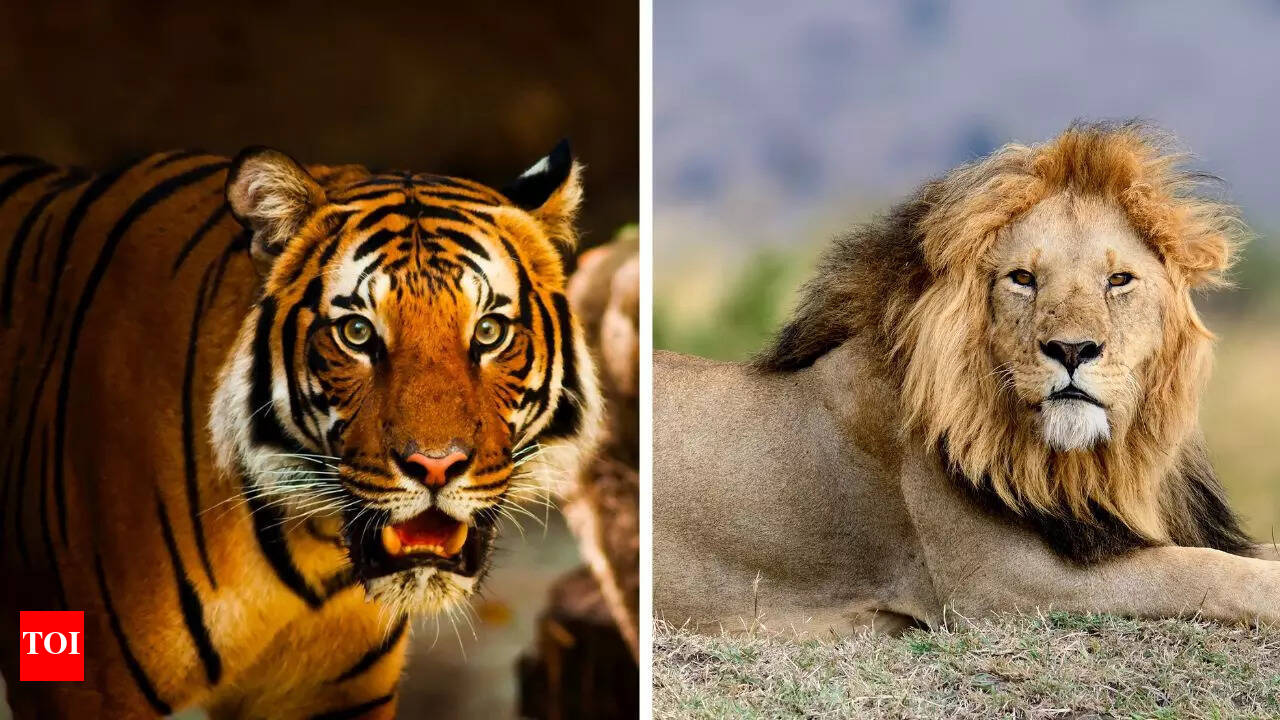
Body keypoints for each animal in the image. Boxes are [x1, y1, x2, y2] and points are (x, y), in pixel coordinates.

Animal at [0, 141, 602, 718]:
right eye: (357, 332)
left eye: (490, 331)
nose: (435, 466)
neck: (309, 548)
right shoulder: (85, 686)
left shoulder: (334, 695)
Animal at [654, 121, 1280, 636]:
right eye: (1022, 278)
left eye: (1119, 280)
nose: (1071, 349)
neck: (1092, 462)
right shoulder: (1000, 581)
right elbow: (1200, 571)